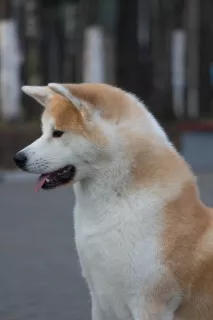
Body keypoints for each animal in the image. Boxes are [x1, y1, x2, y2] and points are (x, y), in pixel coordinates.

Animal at [14, 83, 213, 320]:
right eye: (44, 131)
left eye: (58, 133)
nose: (18, 158)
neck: (117, 202)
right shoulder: (100, 299)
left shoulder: (149, 304)